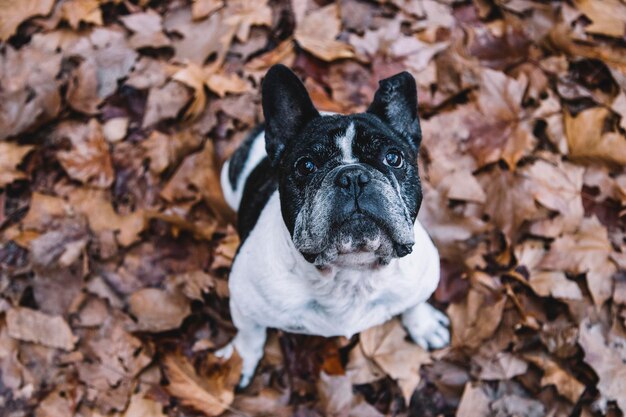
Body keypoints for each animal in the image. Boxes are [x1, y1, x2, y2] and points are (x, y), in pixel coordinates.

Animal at [217, 65, 446, 386]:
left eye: (394, 157)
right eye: (306, 166)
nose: (352, 176)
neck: (351, 273)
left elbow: (414, 302)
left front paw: (424, 325)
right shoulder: (244, 301)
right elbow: (250, 334)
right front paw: (239, 363)